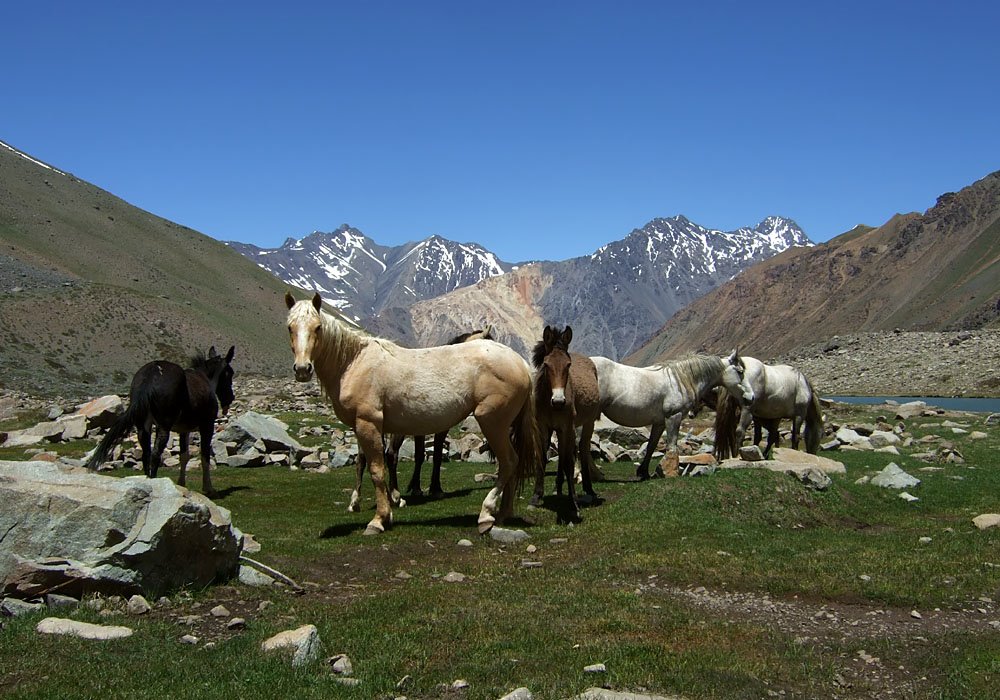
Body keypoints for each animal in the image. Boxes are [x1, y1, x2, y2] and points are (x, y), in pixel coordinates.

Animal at [85, 348, 234, 494]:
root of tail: (151, 375)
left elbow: (184, 456)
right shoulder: (207, 426)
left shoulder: (183, 430)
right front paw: (208, 488)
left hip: (143, 427)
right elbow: (204, 456)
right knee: (155, 455)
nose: (230, 398)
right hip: (164, 426)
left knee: (146, 454)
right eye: (230, 373)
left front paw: (182, 484)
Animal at [348, 326, 496, 516]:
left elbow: (427, 455)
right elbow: (429, 455)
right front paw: (428, 489)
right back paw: (394, 497)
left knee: (362, 459)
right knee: (390, 454)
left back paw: (357, 501)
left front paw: (423, 488)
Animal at [532, 326, 600, 524]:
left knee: (582, 450)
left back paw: (588, 489)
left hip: (586, 424)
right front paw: (536, 496)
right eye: (546, 365)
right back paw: (558, 488)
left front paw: (573, 502)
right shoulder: (542, 426)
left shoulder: (567, 426)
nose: (559, 401)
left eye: (568, 365)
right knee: (562, 456)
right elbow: (542, 458)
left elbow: (569, 462)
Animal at [588, 350, 752, 482]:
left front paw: (644, 472)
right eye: (740, 371)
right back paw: (595, 474)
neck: (680, 380)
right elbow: (672, 445)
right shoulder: (673, 417)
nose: (751, 398)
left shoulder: (660, 422)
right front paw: (670, 472)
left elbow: (652, 446)